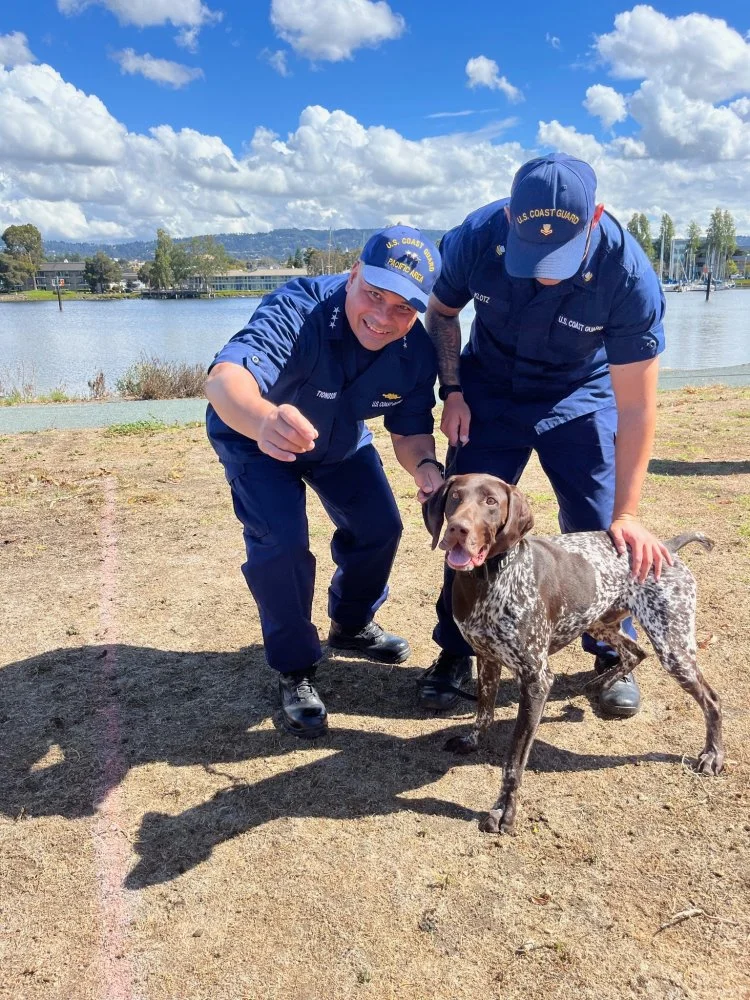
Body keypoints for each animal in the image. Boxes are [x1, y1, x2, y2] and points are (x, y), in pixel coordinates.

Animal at [424, 472, 724, 832]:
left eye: (491, 502)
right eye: (455, 496)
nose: (457, 529)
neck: (488, 580)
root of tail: (666, 546)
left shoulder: (536, 679)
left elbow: (514, 760)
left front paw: (503, 811)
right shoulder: (487, 658)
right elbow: (484, 711)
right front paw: (472, 741)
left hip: (673, 647)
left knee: (711, 699)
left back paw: (712, 755)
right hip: (598, 623)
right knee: (635, 652)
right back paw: (600, 684)